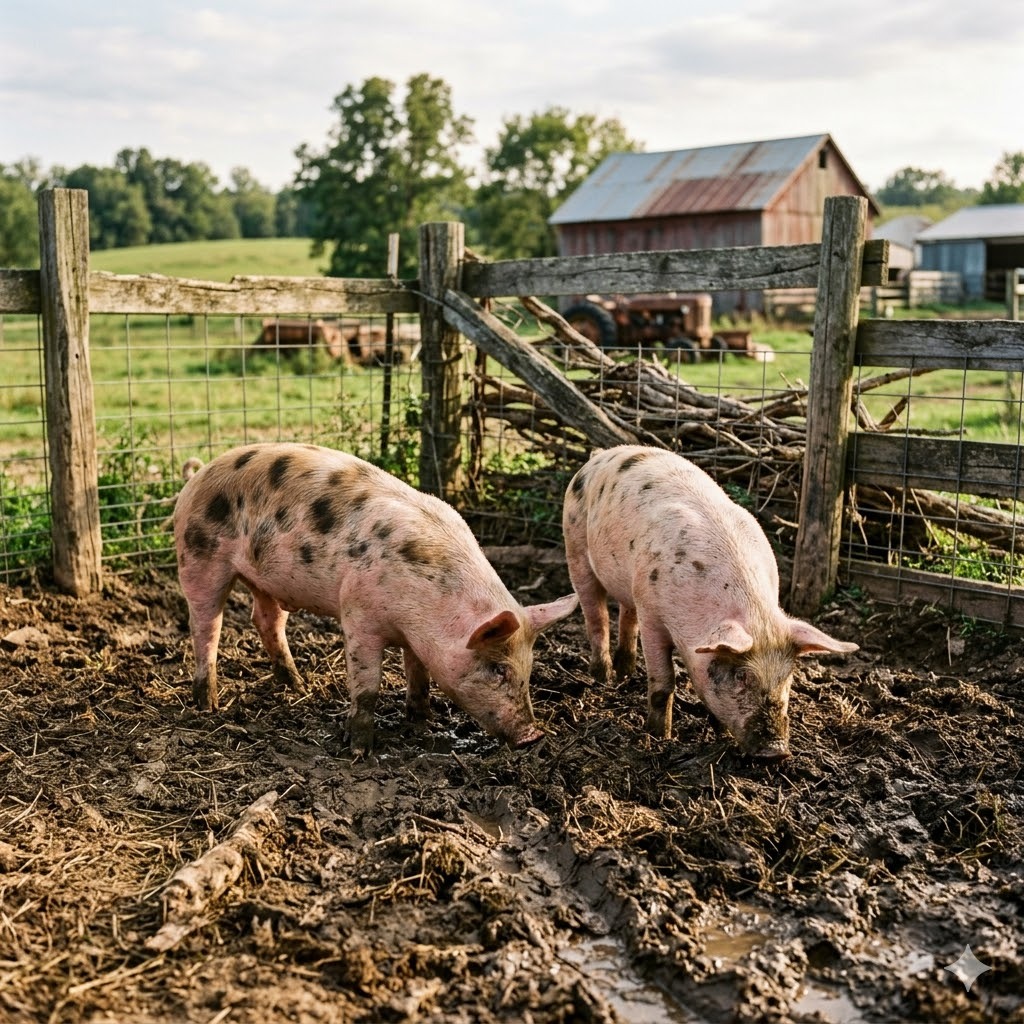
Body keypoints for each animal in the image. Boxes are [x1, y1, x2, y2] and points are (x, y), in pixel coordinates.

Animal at [173, 443, 577, 754]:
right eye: (497, 668)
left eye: (529, 668)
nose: (532, 735)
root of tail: (198, 475)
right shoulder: (358, 614)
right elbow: (368, 686)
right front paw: (359, 751)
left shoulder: (417, 636)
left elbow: (419, 674)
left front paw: (420, 721)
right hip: (199, 557)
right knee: (205, 624)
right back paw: (208, 705)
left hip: (265, 579)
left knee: (266, 619)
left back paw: (298, 686)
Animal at [562, 445, 858, 761]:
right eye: (741, 676)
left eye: (787, 676)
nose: (777, 751)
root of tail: (601, 455)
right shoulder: (652, 613)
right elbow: (663, 682)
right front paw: (658, 738)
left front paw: (720, 736)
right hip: (575, 547)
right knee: (596, 615)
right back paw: (602, 677)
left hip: (629, 583)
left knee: (626, 615)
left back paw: (625, 672)